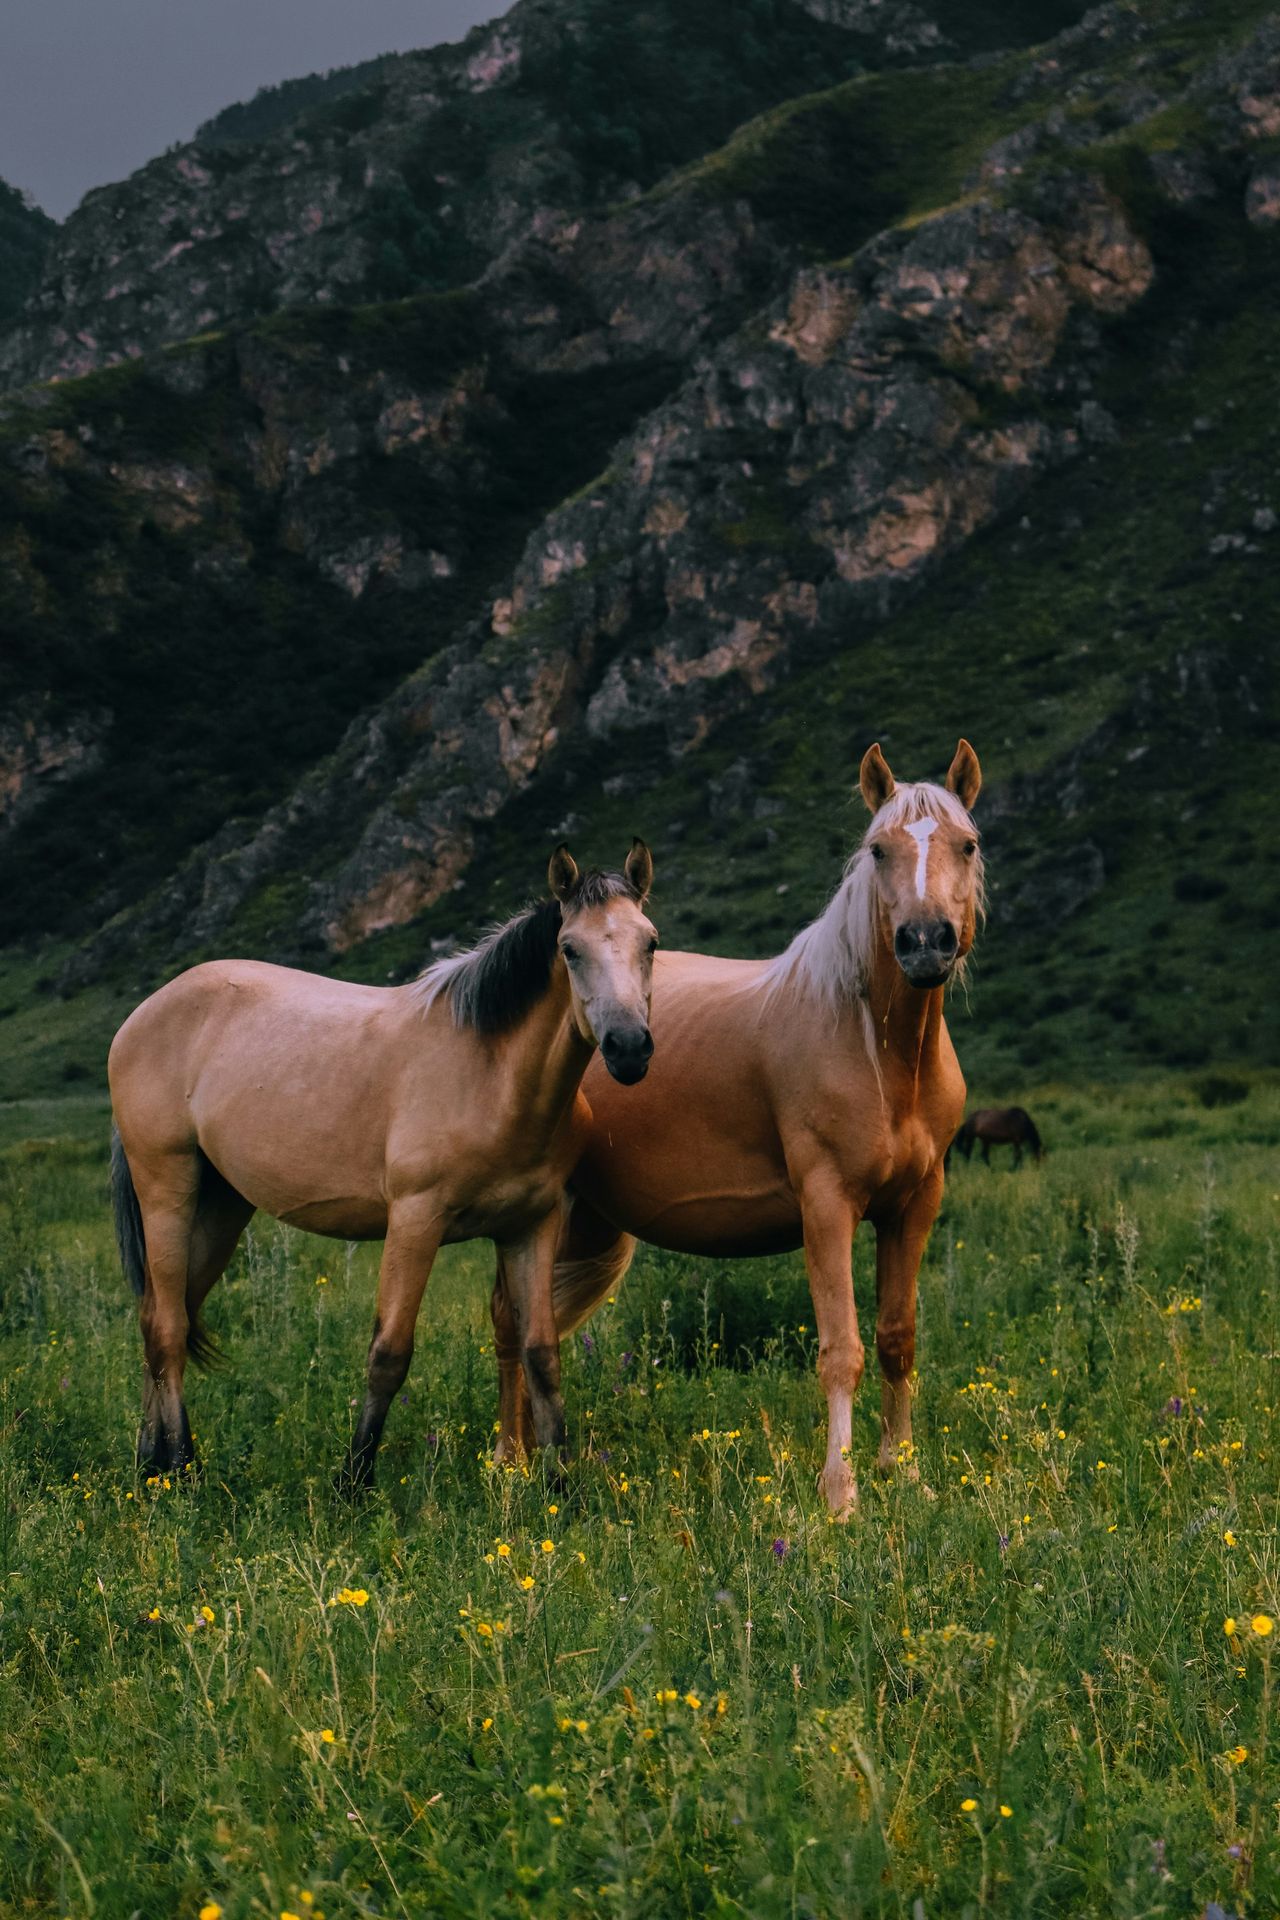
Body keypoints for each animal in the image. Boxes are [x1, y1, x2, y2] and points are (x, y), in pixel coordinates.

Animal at [108, 840, 657, 1488]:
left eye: (650, 943)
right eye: (570, 949)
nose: (629, 1048)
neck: (492, 1076)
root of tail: (145, 1012)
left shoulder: (531, 1227)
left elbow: (541, 1354)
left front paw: (559, 1487)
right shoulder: (416, 1222)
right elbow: (389, 1354)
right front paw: (354, 1481)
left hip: (221, 1206)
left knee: (164, 1316)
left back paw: (154, 1464)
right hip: (168, 1186)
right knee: (167, 1328)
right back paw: (176, 1469)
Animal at [491, 740, 984, 1519]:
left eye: (967, 844)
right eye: (878, 849)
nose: (926, 943)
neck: (877, 1050)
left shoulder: (914, 1206)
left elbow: (896, 1339)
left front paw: (902, 1473)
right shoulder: (827, 1206)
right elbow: (840, 1349)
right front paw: (840, 1495)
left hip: (585, 1218)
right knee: (511, 1324)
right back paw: (510, 1465)